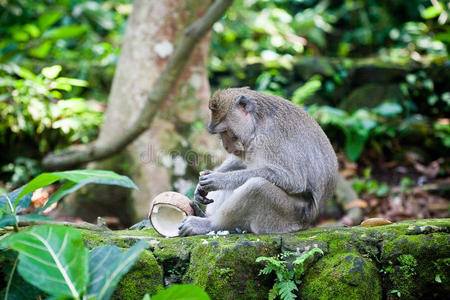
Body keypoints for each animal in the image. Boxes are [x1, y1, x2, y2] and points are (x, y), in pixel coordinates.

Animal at [179, 88, 338, 236]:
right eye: (220, 134)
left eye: (224, 131)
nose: (226, 146)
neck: (257, 123)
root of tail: (308, 222)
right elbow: (240, 161)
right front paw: (200, 187)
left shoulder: (270, 136)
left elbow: (293, 179)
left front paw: (219, 179)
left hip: (287, 217)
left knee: (258, 187)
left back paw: (209, 224)